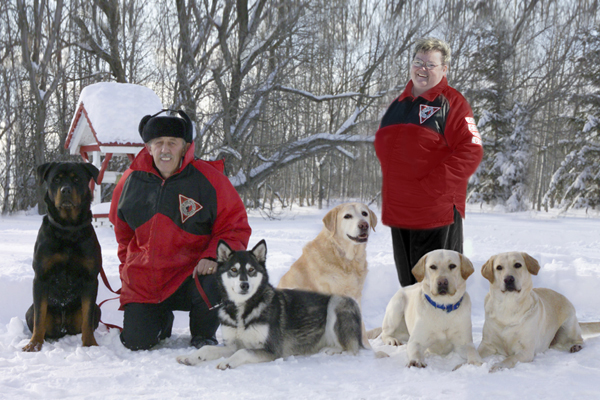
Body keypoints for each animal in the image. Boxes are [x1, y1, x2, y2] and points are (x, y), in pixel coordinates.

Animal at [23, 161, 102, 352]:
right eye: (56, 179)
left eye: (77, 179)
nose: (65, 190)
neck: (68, 229)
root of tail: (63, 326)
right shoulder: (41, 277)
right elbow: (39, 317)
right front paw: (34, 345)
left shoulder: (90, 278)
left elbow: (87, 318)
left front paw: (90, 344)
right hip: (29, 311)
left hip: (98, 310)